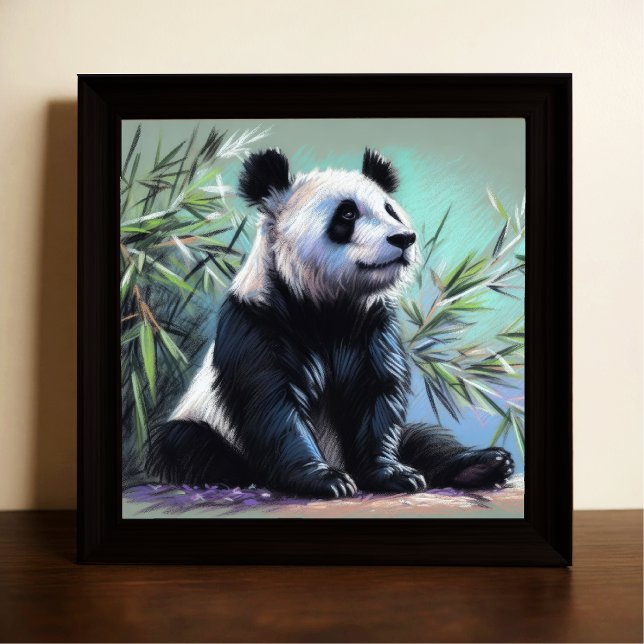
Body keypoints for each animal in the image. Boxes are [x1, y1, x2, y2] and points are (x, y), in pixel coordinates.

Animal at [147, 148, 514, 498]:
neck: (328, 304)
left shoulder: (371, 326)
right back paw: (242, 475)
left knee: (423, 440)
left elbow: (377, 396)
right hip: (204, 421)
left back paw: (485, 464)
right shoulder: (259, 322)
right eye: (347, 213)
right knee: (185, 443)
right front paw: (325, 480)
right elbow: (273, 401)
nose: (404, 238)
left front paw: (392, 474)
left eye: (390, 210)